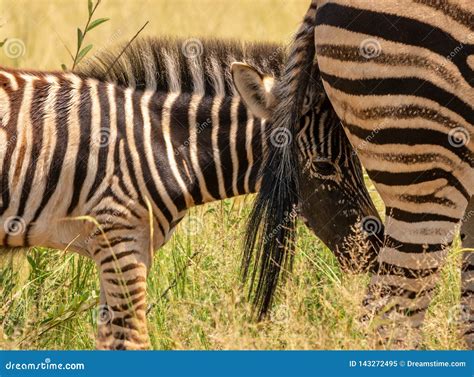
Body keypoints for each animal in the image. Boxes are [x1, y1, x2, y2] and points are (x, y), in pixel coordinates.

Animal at [0, 37, 378, 346]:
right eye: (324, 166)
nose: (375, 250)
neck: (161, 143)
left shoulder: (121, 246)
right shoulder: (119, 237)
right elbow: (132, 340)